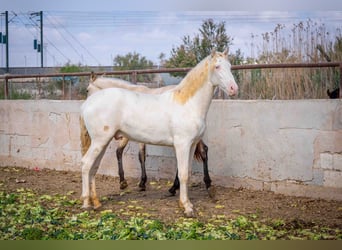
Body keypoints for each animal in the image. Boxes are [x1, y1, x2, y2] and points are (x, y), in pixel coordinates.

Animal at [82, 75, 214, 196]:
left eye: (87, 90)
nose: (87, 106)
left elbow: (139, 155)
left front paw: (139, 183)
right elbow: (120, 152)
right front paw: (125, 182)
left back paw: (175, 187)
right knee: (203, 150)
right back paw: (206, 184)